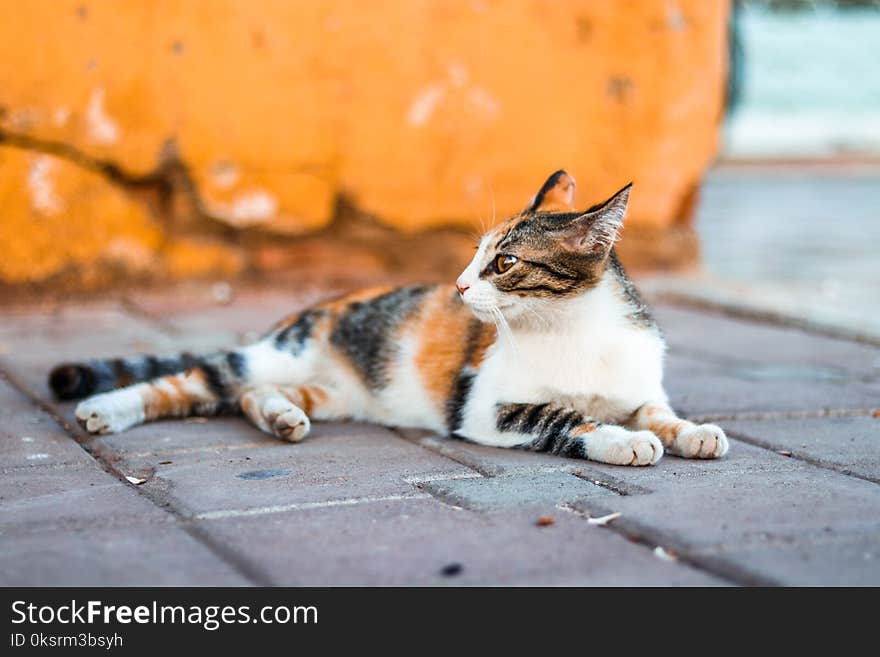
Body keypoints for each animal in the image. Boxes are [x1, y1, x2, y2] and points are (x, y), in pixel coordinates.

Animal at [51, 172, 732, 464]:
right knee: (197, 379)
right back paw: (104, 409)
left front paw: (692, 431)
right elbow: (562, 417)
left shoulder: (638, 387)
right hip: (274, 354)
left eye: (504, 261)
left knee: (248, 396)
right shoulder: (484, 406)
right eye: (475, 255)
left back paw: (281, 417)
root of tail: (315, 306)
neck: (574, 328)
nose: (459, 284)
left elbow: (658, 410)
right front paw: (621, 440)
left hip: (333, 391)